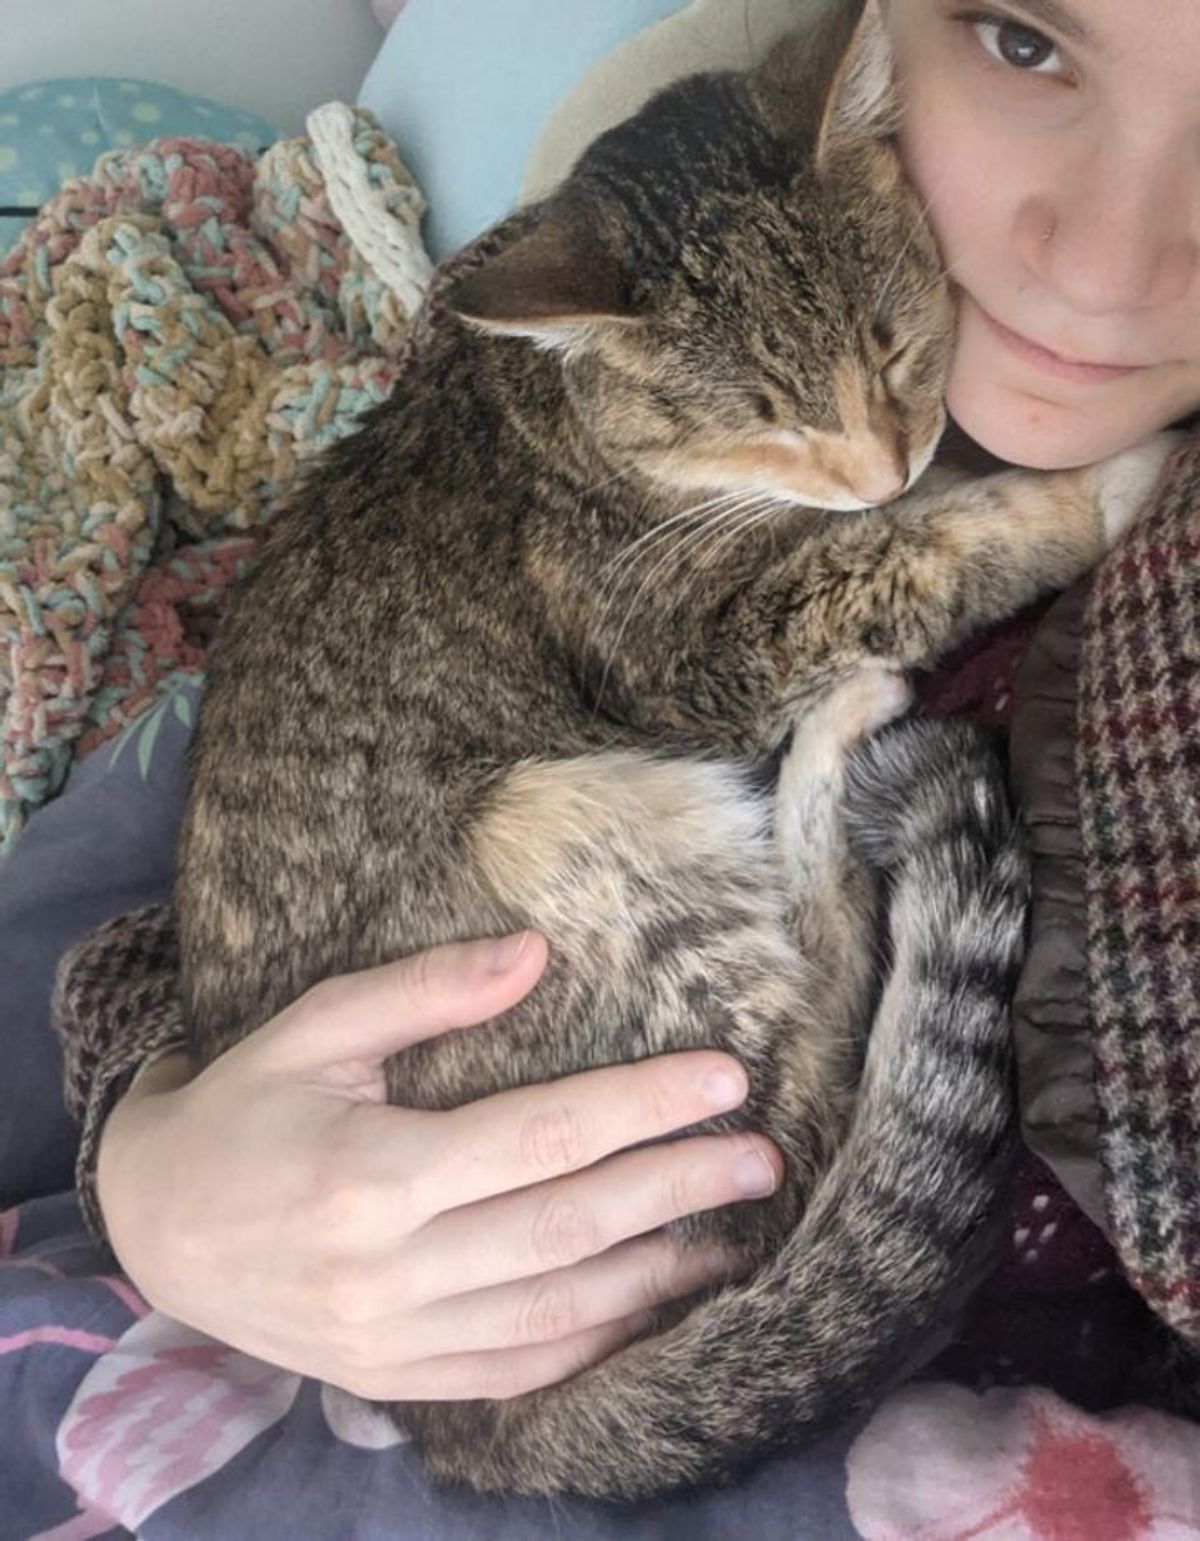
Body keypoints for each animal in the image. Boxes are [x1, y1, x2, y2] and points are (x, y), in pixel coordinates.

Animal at [173, 0, 1176, 1497]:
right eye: (770, 414)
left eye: (896, 345)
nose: (884, 460)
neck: (571, 421)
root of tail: (458, 1422)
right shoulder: (692, 642)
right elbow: (916, 551)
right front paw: (1096, 484)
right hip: (577, 839)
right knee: (811, 1105)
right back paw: (840, 735)